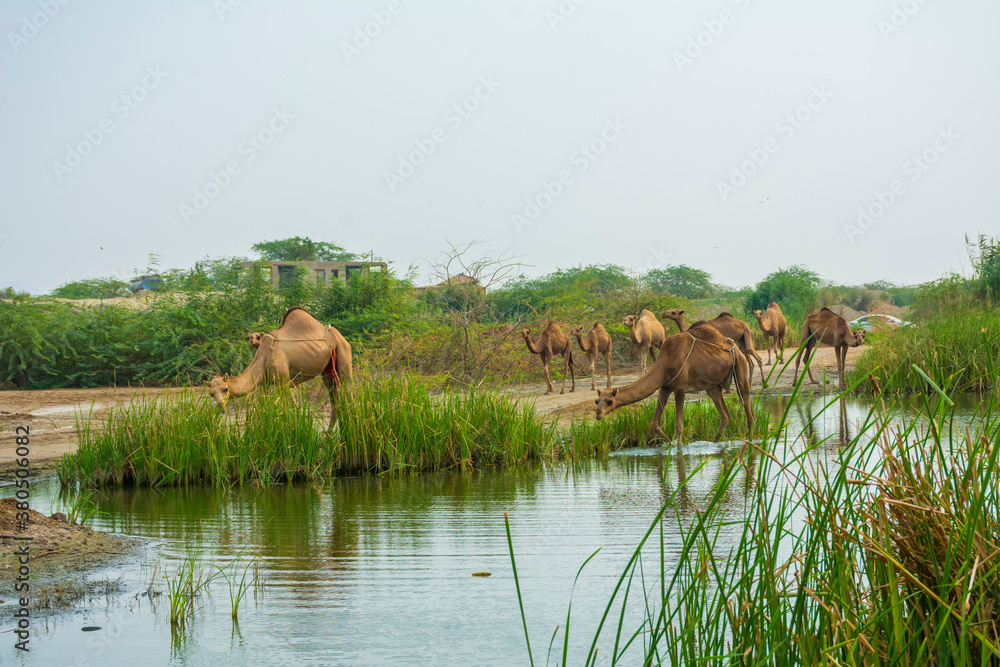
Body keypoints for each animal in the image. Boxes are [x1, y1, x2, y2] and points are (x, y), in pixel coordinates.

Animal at [206, 307, 353, 429]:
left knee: (349, 392)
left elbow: (288, 408)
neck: (265, 356)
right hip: (327, 370)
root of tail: (341, 337)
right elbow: (262, 407)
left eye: (225, 389)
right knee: (335, 401)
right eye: (211, 394)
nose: (220, 407)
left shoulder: (283, 381)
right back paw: (328, 438)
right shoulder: (264, 383)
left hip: (343, 353)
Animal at [594, 322, 753, 443]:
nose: (598, 413)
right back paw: (716, 443)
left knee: (747, 407)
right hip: (712, 386)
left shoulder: (680, 387)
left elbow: (679, 426)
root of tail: (735, 348)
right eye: (597, 401)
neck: (665, 362)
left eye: (609, 401)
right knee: (725, 415)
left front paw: (678, 451)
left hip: (740, 365)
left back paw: (751, 443)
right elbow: (654, 424)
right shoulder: (665, 387)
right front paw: (670, 444)